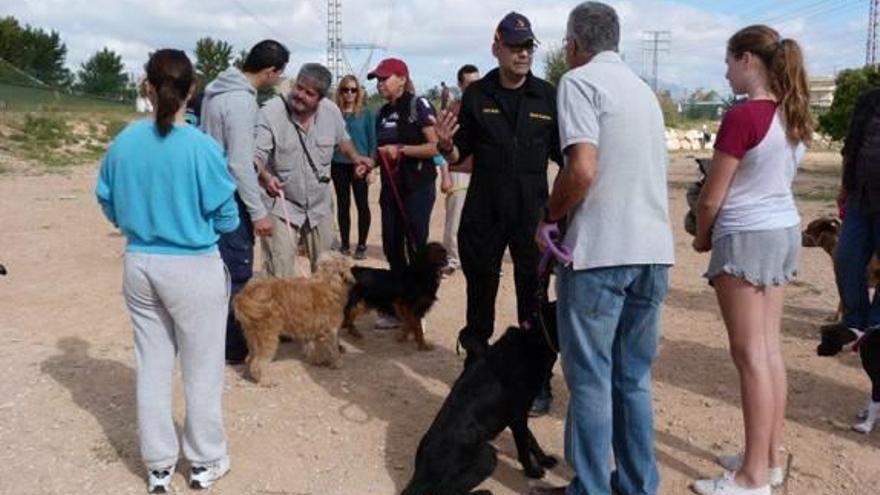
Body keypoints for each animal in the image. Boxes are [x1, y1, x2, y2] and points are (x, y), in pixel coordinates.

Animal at [237, 252, 358, 384]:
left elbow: (314, 347)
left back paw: (248, 375)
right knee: (257, 363)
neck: (327, 280)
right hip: (266, 336)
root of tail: (244, 295)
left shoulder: (313, 330)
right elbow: (332, 349)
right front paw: (337, 363)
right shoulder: (330, 331)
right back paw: (265, 381)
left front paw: (317, 360)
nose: (353, 281)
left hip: (252, 336)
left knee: (250, 358)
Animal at [402, 302, 560, 495]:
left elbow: (531, 440)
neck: (533, 337)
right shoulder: (518, 416)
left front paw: (544, 459)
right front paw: (532, 471)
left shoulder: (518, 415)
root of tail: (420, 475)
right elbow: (524, 445)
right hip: (487, 454)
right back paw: (482, 492)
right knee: (443, 490)